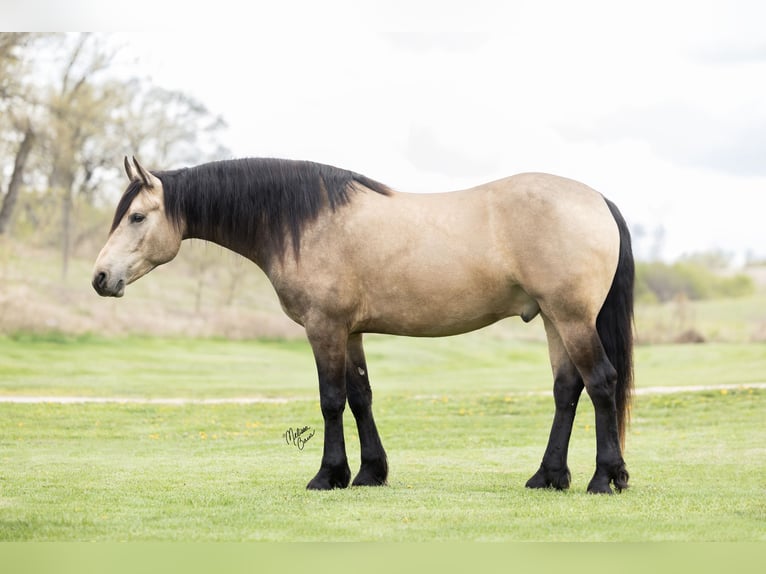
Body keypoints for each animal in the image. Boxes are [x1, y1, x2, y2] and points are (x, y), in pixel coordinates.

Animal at [92, 156, 634, 494]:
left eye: (136, 216)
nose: (100, 278)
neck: (305, 222)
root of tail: (598, 199)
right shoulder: (350, 332)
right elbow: (360, 397)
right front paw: (371, 473)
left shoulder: (324, 328)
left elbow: (331, 401)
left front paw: (327, 475)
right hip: (553, 319)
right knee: (566, 390)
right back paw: (549, 476)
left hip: (572, 318)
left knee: (601, 383)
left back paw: (604, 479)